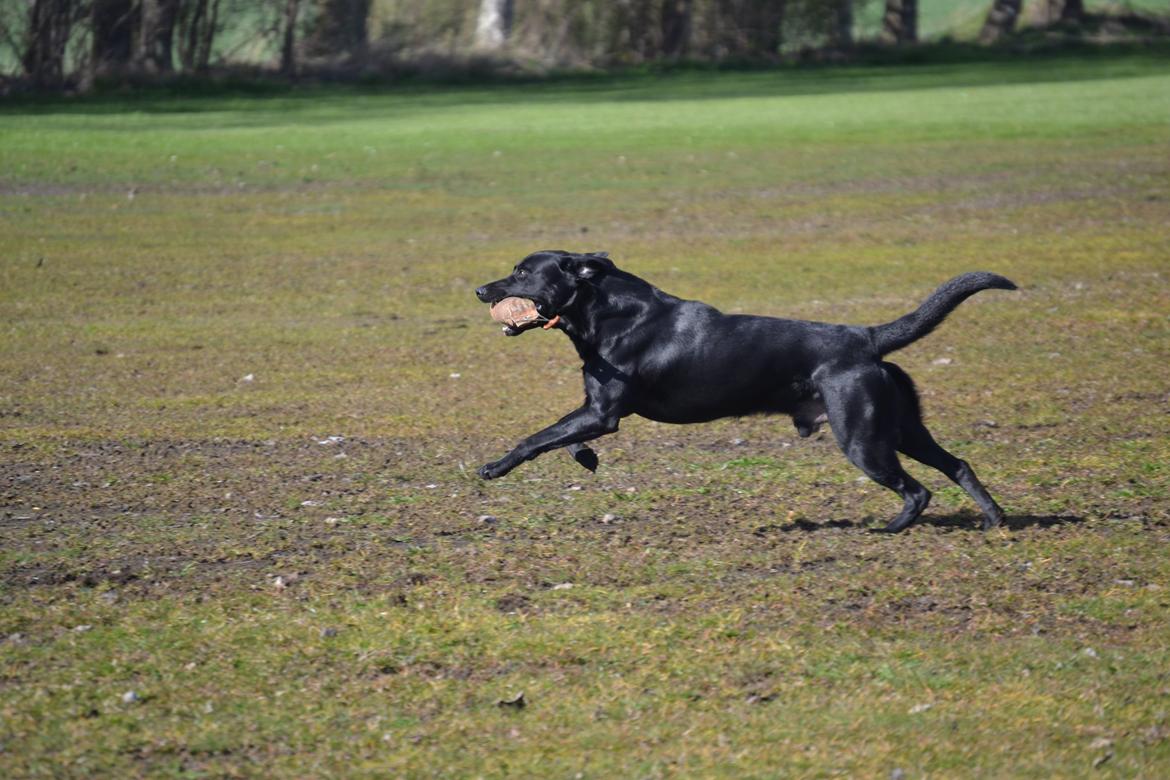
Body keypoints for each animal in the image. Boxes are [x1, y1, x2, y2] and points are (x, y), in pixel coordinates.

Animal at [475, 253, 1015, 533]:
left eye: (522, 272)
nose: (481, 290)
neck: (604, 311)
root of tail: (865, 337)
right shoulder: (595, 411)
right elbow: (562, 438)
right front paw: (585, 457)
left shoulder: (603, 412)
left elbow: (537, 437)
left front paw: (494, 467)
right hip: (901, 428)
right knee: (957, 465)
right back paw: (994, 519)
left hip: (864, 438)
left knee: (917, 490)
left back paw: (889, 529)